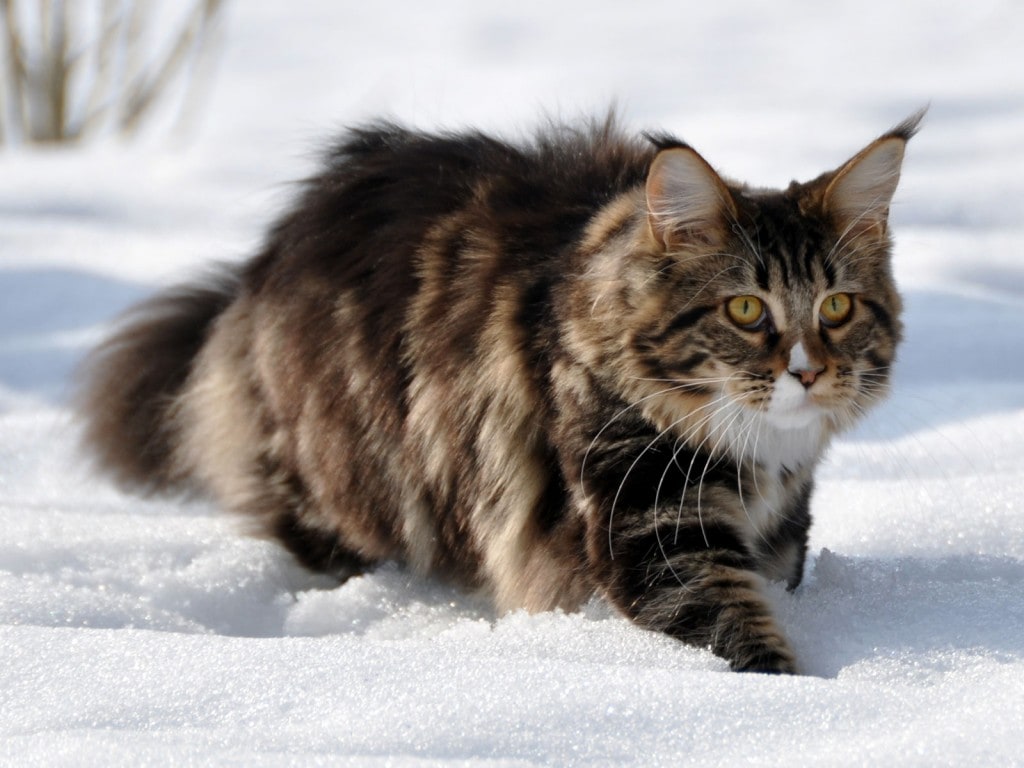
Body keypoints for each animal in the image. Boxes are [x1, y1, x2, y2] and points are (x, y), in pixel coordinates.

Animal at [75, 109, 917, 671]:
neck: (760, 451)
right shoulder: (651, 524)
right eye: (745, 309)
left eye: (836, 307)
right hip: (350, 473)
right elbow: (735, 630)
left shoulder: (779, 527)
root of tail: (264, 261)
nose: (806, 371)